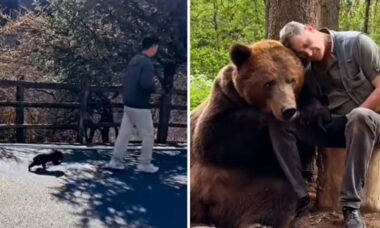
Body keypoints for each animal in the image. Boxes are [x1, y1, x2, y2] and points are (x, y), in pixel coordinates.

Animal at [190, 40, 312, 227]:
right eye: (268, 83)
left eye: (292, 80)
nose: (288, 110)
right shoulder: (223, 95)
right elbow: (211, 136)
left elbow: (299, 151)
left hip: (257, 188)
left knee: (278, 196)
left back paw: (259, 222)